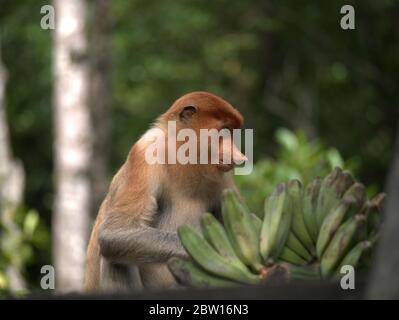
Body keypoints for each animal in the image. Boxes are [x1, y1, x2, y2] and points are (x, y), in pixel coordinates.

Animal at [84, 91, 247, 292]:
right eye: (224, 131)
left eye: (232, 132)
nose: (240, 157)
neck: (182, 155)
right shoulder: (144, 153)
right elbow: (115, 232)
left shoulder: (223, 176)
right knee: (114, 255)